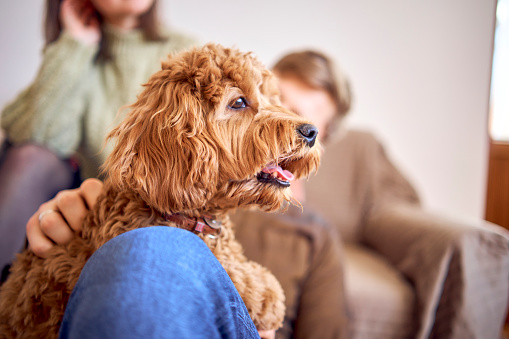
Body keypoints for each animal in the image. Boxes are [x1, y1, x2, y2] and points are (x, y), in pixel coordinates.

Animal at [0, 43, 320, 338]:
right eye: (239, 102)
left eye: (272, 97)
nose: (311, 131)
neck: (193, 216)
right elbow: (234, 274)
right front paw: (267, 291)